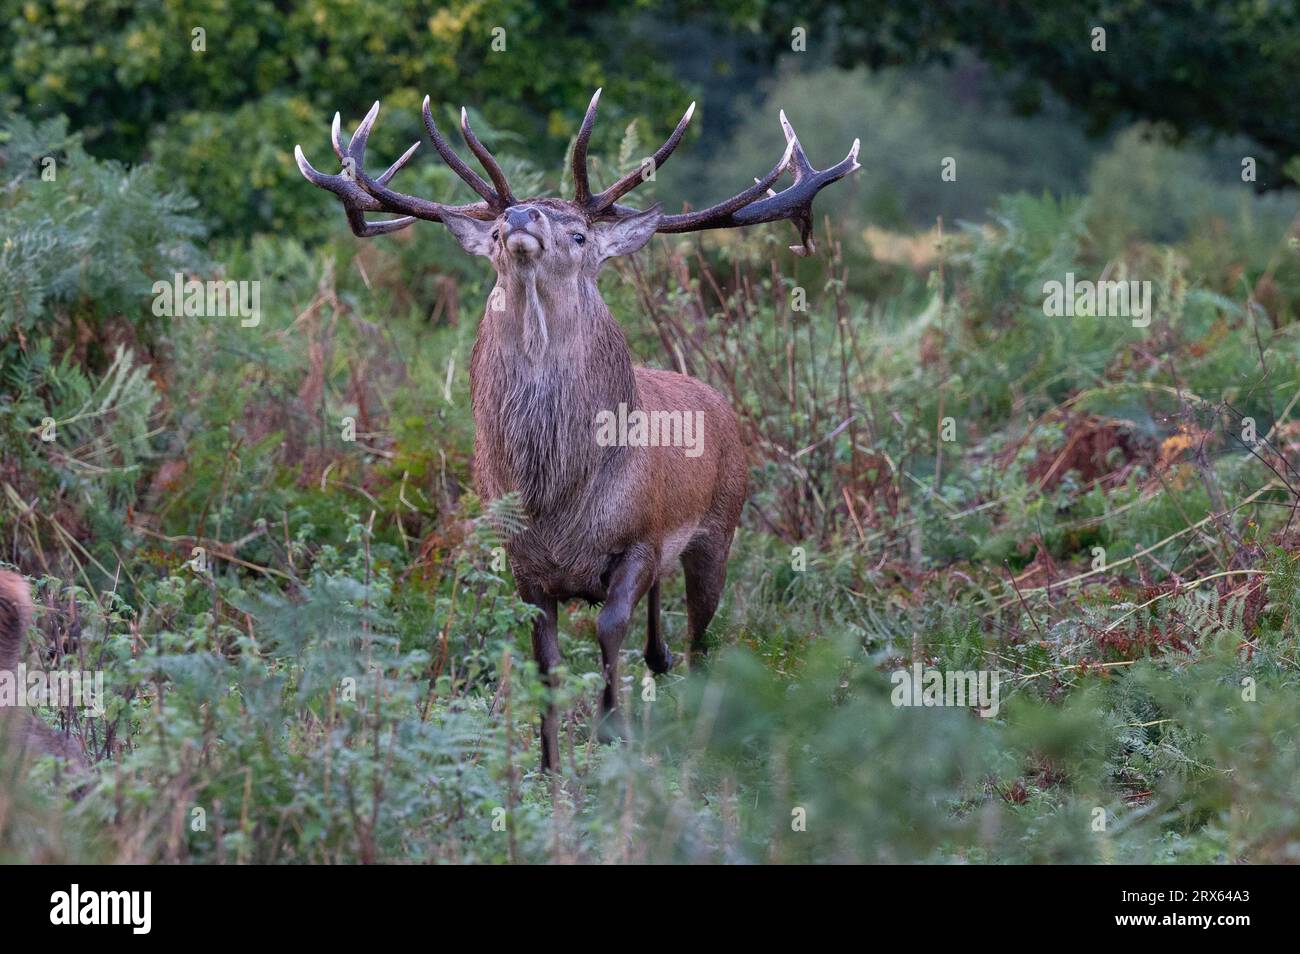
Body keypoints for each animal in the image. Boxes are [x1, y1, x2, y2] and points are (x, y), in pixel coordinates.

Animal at [297, 89, 857, 774]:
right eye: (493, 228)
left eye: (580, 232)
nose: (519, 216)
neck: (557, 500)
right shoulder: (523, 564)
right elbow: (547, 662)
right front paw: (549, 765)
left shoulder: (641, 539)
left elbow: (609, 631)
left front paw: (613, 736)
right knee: (665, 642)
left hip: (719, 529)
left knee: (703, 638)